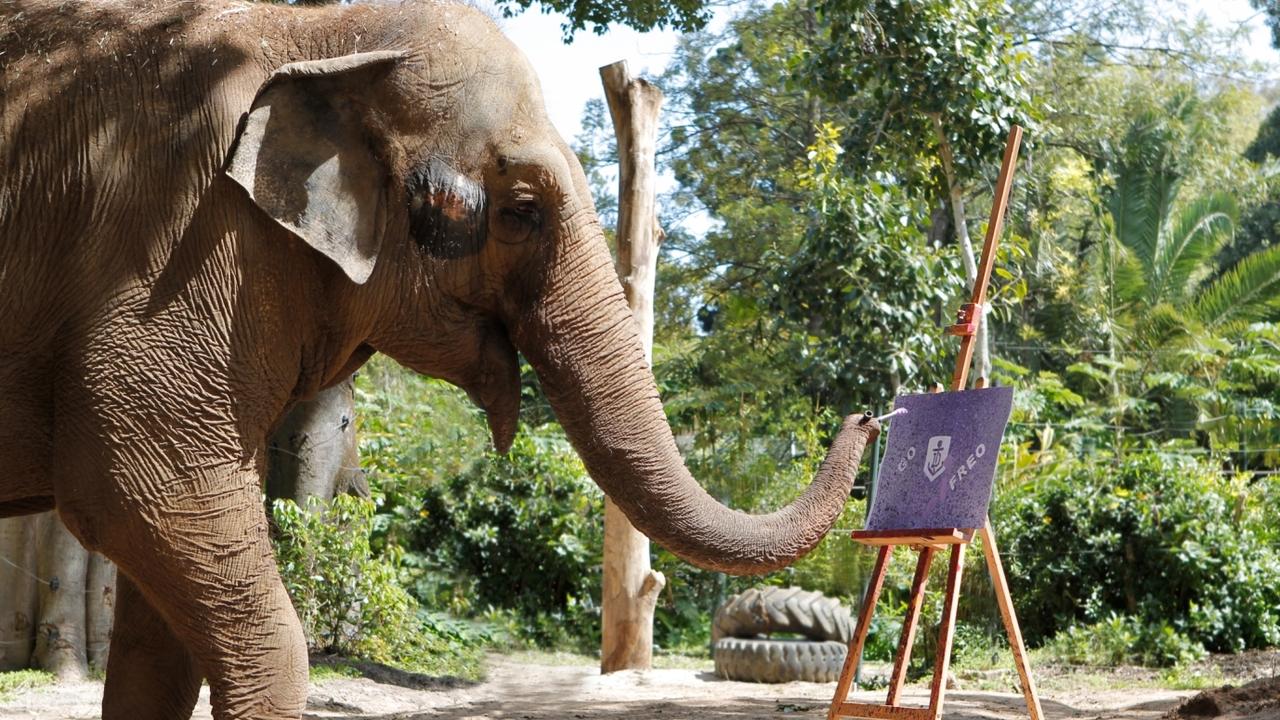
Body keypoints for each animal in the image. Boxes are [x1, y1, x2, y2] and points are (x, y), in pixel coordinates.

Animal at [0, 2, 880, 712]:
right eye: (522, 211)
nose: (869, 413)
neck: (320, 33)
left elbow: (160, 633)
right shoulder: (173, 249)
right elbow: (134, 490)